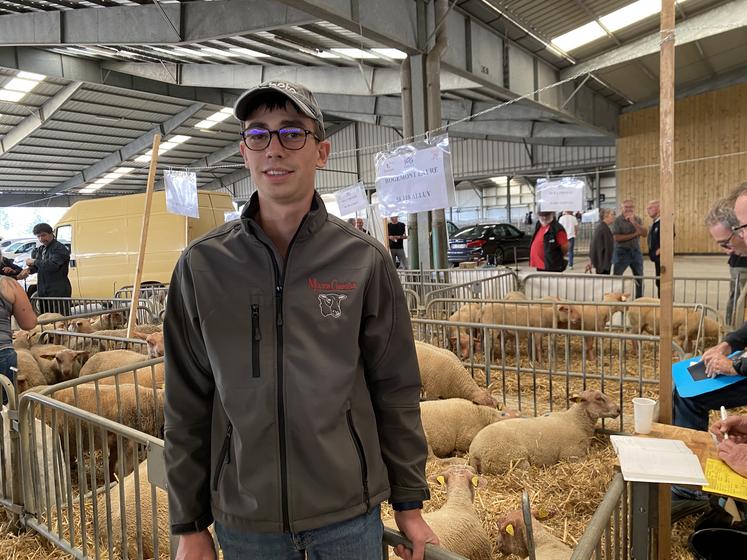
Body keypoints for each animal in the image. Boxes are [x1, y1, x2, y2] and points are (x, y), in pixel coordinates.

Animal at [470, 390, 624, 476]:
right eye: (598, 398)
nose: (618, 409)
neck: (577, 421)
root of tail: (474, 453)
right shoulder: (572, 456)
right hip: (515, 460)